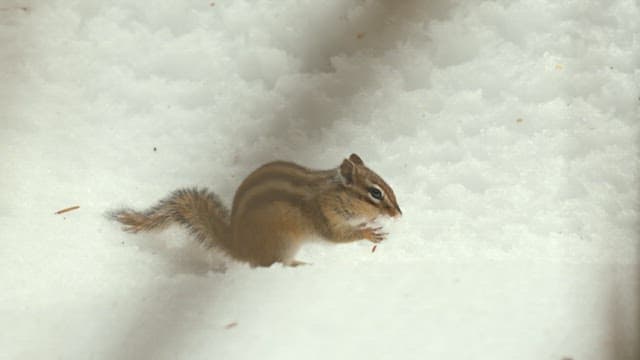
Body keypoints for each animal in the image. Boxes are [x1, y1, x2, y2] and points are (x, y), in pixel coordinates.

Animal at [109, 153, 400, 268]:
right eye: (375, 193)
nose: (398, 214)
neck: (332, 194)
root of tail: (239, 246)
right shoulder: (322, 217)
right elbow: (337, 238)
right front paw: (368, 233)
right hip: (282, 242)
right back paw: (298, 265)